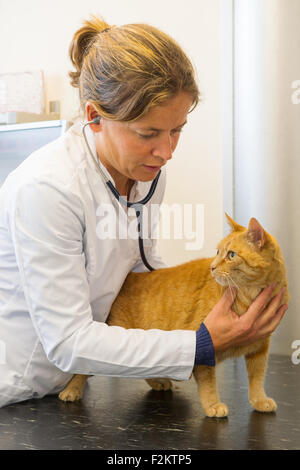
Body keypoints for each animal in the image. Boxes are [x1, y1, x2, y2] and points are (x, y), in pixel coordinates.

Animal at [57, 215, 290, 416]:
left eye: (231, 255)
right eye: (217, 252)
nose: (212, 267)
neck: (249, 296)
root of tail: (127, 278)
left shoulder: (260, 348)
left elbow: (257, 378)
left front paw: (259, 400)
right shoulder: (206, 349)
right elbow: (208, 383)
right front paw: (213, 405)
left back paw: (158, 381)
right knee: (85, 367)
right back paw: (72, 390)